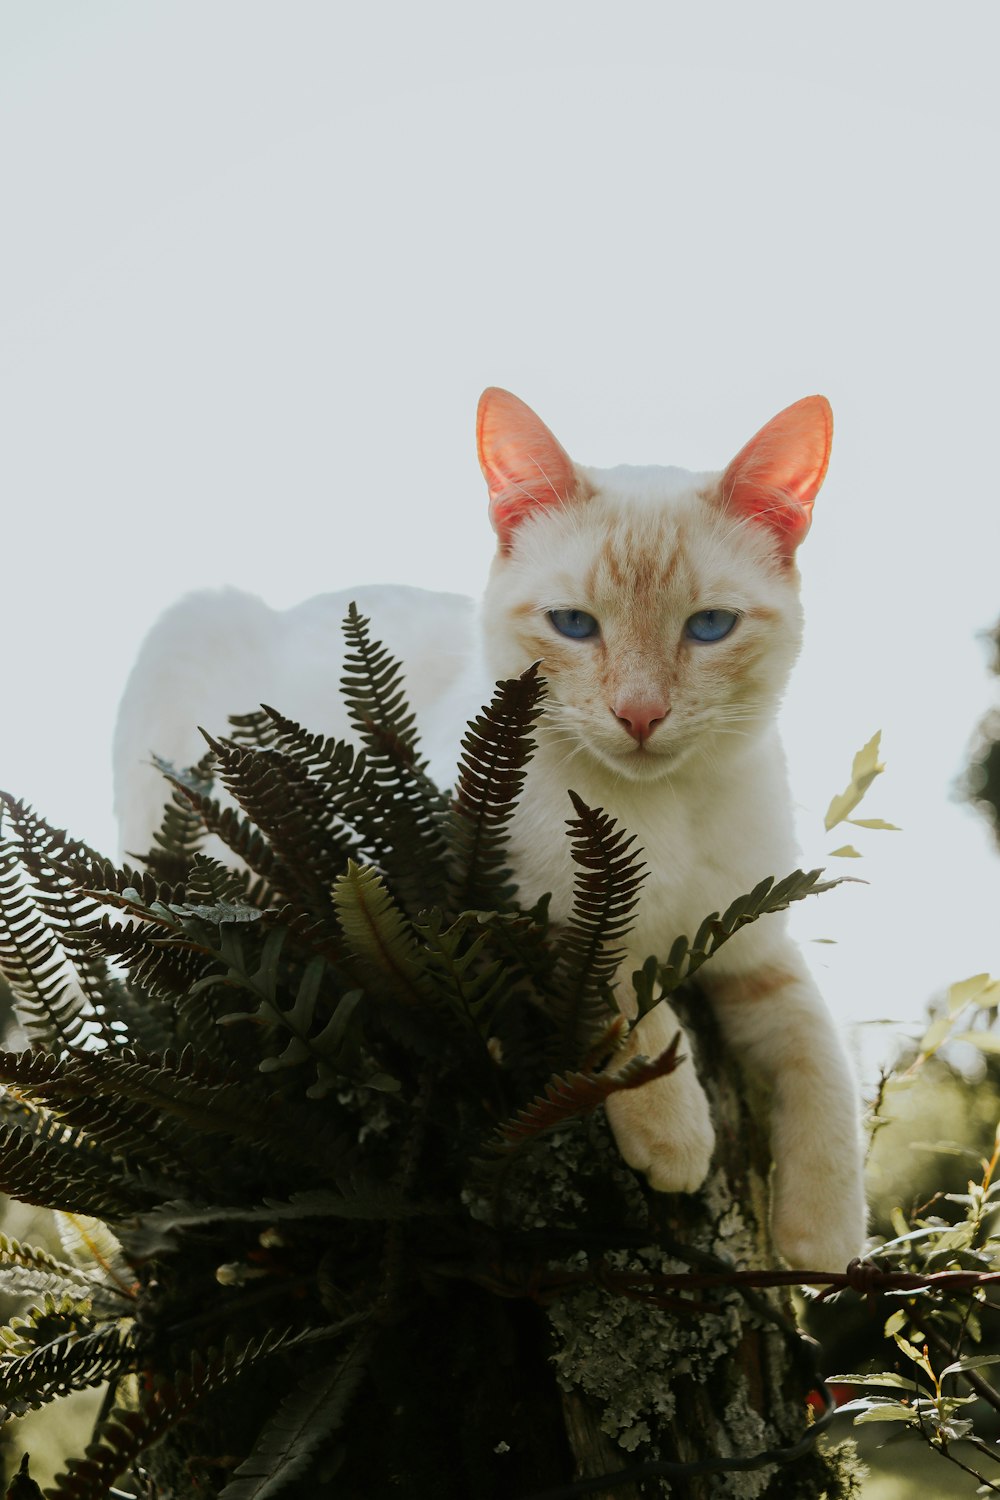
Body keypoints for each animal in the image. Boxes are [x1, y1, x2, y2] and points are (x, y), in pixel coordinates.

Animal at [115, 390, 869, 1278]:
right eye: (574, 624)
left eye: (710, 627)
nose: (640, 715)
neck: (661, 815)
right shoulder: (494, 899)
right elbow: (616, 981)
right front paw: (672, 1126)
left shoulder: (750, 944)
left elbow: (820, 1051)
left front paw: (826, 1236)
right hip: (185, 650)